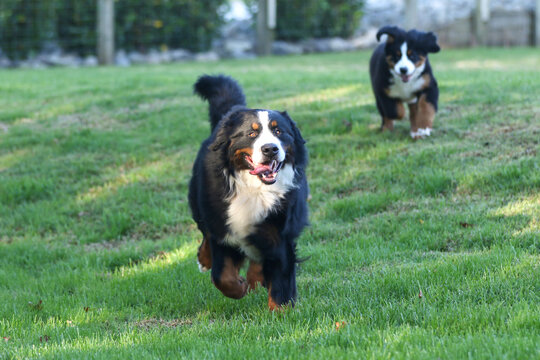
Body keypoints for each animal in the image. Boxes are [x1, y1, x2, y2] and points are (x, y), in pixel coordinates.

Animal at [189, 74, 308, 310]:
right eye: (252, 133)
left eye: (279, 131)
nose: (270, 149)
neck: (255, 189)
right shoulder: (224, 226)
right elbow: (222, 276)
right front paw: (239, 287)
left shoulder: (279, 231)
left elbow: (281, 278)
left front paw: (281, 311)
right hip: (199, 204)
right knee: (205, 234)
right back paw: (205, 260)